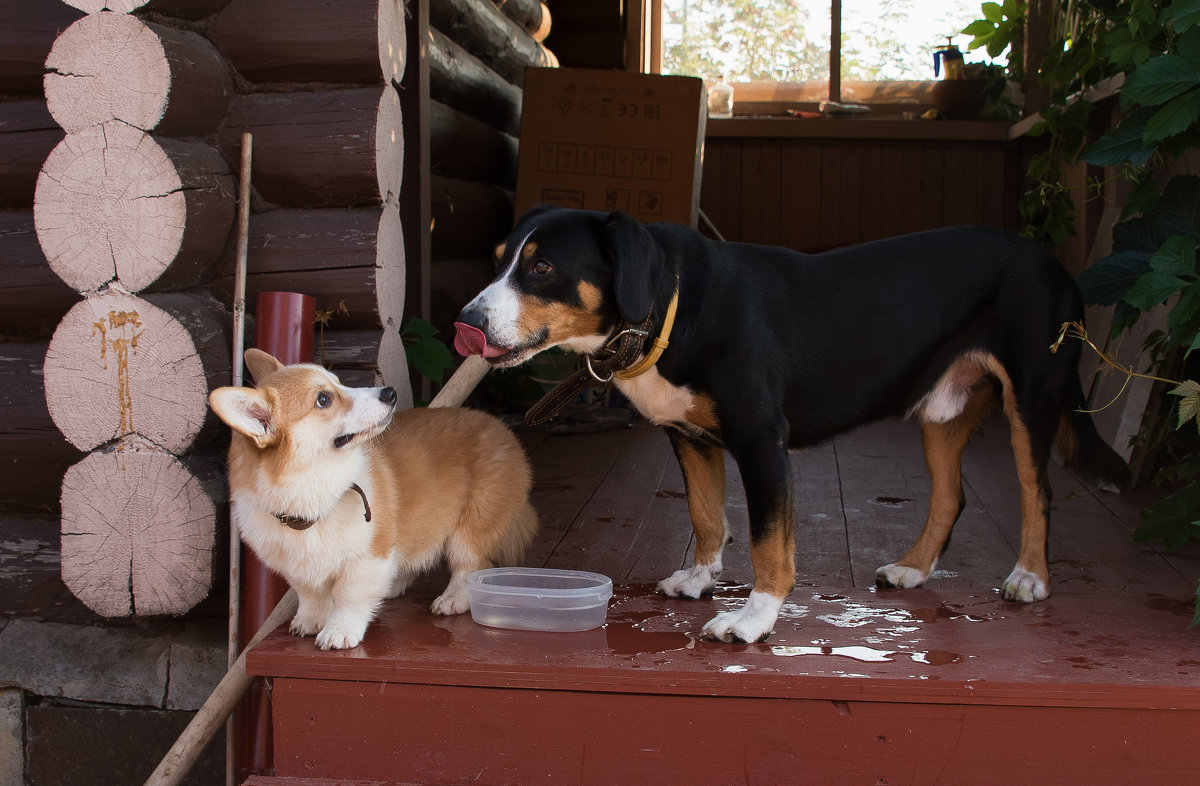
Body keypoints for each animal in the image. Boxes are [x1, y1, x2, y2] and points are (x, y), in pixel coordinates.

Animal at [211, 350, 540, 652]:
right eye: (323, 399)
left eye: (339, 382)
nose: (390, 393)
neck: (313, 492)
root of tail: (502, 429)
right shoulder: (295, 564)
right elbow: (310, 594)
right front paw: (310, 620)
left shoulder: (369, 555)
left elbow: (349, 595)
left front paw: (339, 632)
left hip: (473, 525)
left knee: (470, 564)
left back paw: (452, 599)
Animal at [453, 207, 1128, 648]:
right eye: (498, 263)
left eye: (542, 269)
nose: (466, 320)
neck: (674, 306)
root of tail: (1054, 264)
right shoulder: (690, 439)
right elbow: (706, 516)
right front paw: (700, 578)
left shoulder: (761, 442)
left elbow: (769, 543)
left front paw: (753, 619)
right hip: (944, 411)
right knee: (951, 495)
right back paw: (913, 569)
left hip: (1032, 398)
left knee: (1038, 492)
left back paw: (1029, 578)